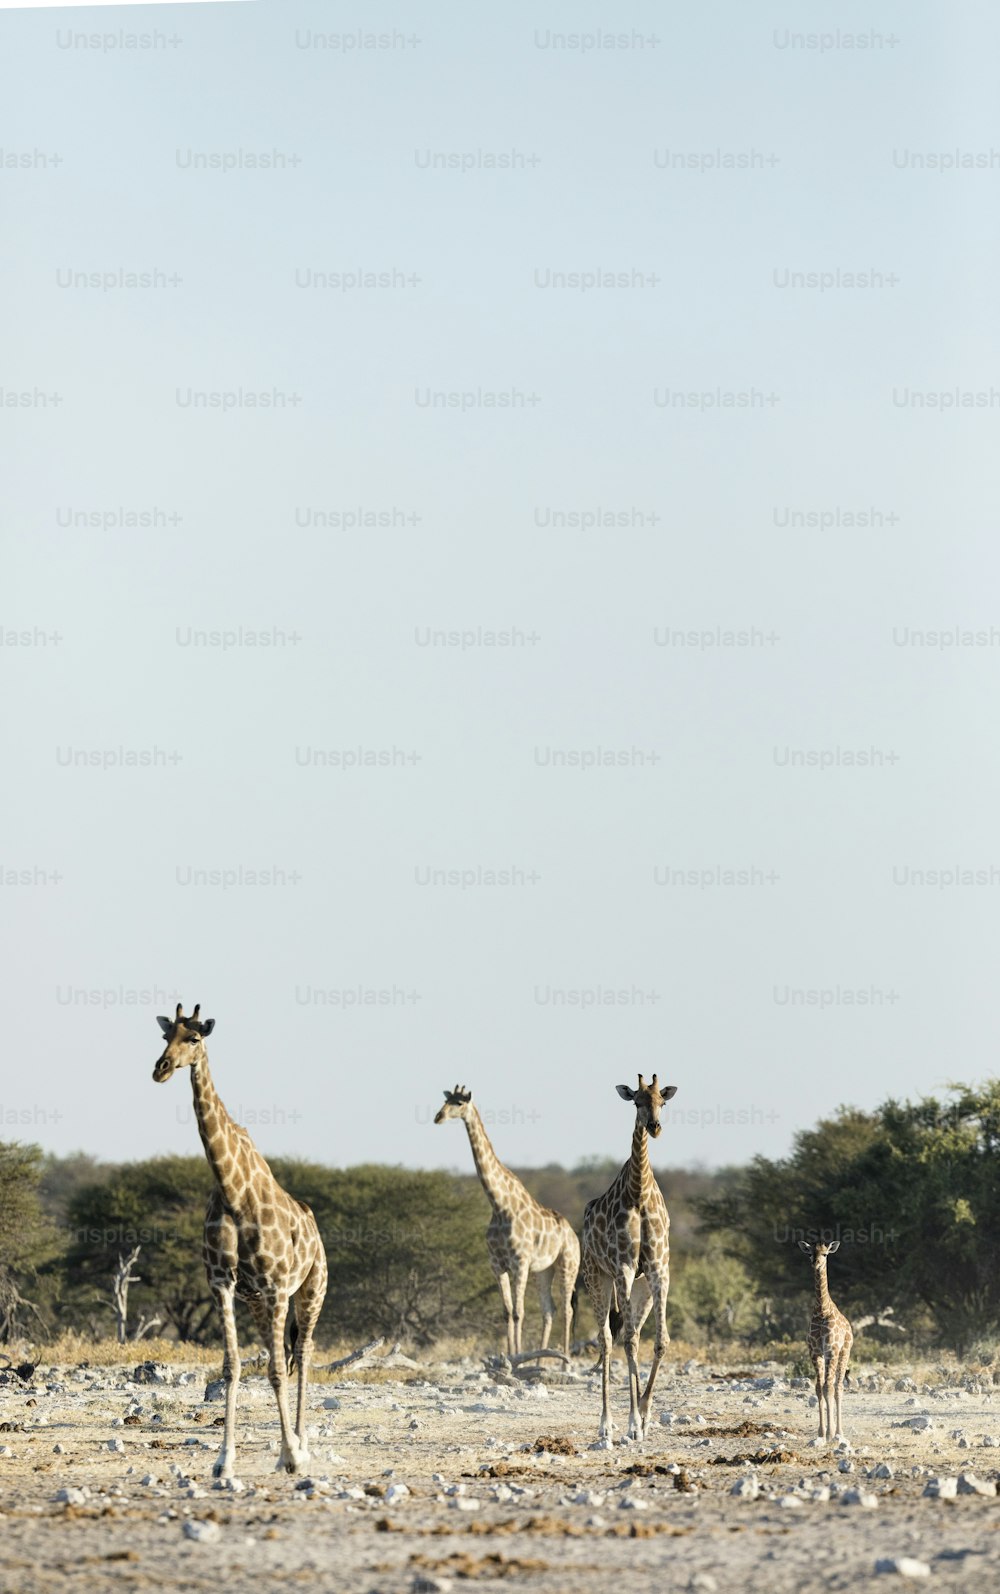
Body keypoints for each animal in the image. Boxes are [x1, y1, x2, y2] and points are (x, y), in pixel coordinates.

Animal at [433, 1083, 583, 1358]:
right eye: (446, 1100)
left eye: (459, 1103)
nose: (438, 1117)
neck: (500, 1205)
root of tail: (574, 1235)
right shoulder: (497, 1264)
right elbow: (506, 1312)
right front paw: (511, 1355)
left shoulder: (520, 1263)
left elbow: (518, 1312)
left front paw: (518, 1356)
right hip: (544, 1271)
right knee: (550, 1309)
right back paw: (541, 1358)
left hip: (568, 1264)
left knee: (567, 1309)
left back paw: (564, 1359)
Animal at [583, 1077, 676, 1440]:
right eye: (637, 1101)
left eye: (662, 1102)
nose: (655, 1127)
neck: (638, 1193)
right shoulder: (622, 1268)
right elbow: (629, 1342)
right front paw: (634, 1420)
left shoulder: (658, 1271)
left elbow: (660, 1341)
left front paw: (646, 1415)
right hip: (596, 1278)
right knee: (608, 1340)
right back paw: (606, 1423)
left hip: (641, 1288)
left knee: (629, 1332)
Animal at [797, 1230, 854, 1447]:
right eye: (809, 1253)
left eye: (825, 1253)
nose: (816, 1263)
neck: (822, 1309)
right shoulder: (815, 1352)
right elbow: (818, 1388)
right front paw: (821, 1433)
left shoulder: (830, 1350)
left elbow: (828, 1387)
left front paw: (830, 1433)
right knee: (830, 1386)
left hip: (844, 1352)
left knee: (838, 1387)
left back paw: (839, 1432)